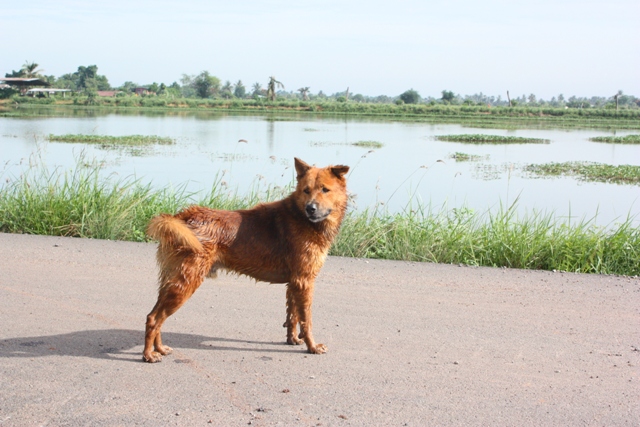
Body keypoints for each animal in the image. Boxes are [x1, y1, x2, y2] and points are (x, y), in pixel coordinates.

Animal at [144, 159, 350, 362]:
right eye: (306, 190)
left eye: (325, 189)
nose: (310, 208)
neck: (301, 217)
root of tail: (182, 217)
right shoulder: (304, 281)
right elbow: (306, 320)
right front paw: (312, 346)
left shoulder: (295, 282)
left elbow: (293, 317)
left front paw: (292, 339)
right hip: (185, 283)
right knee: (154, 318)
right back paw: (148, 354)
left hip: (171, 281)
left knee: (156, 317)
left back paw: (160, 348)